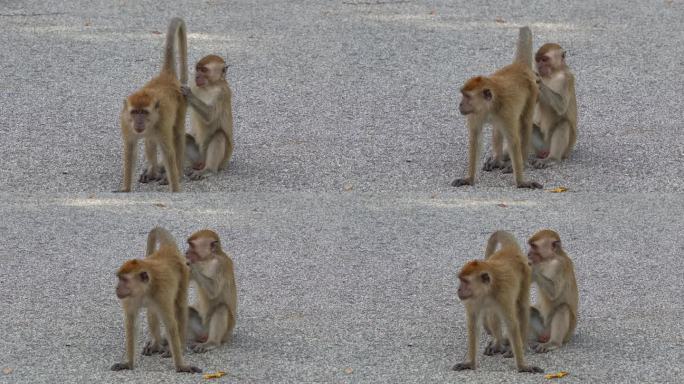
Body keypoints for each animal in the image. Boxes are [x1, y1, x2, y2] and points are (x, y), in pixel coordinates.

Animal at [112, 226, 200, 374]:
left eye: (124, 280)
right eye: (119, 278)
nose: (117, 288)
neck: (144, 291)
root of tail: (167, 249)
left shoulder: (162, 295)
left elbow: (170, 324)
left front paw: (181, 365)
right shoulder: (129, 298)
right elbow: (131, 324)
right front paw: (128, 363)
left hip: (184, 272)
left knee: (180, 307)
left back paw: (180, 345)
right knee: (152, 311)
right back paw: (156, 344)